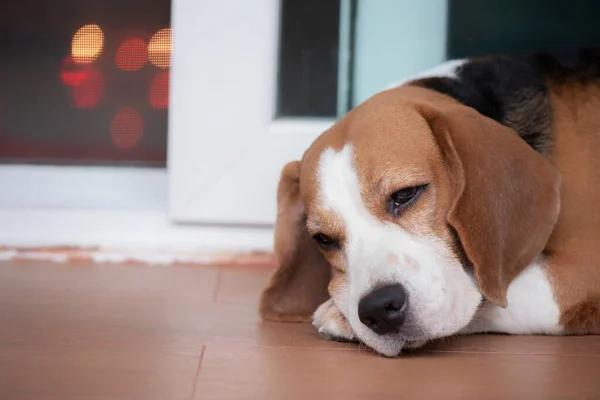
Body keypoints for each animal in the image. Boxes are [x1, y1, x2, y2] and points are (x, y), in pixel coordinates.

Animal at [260, 47, 600, 356]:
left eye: (405, 194)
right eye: (324, 239)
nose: (378, 308)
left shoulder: (581, 271)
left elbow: (485, 298)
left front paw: (336, 313)